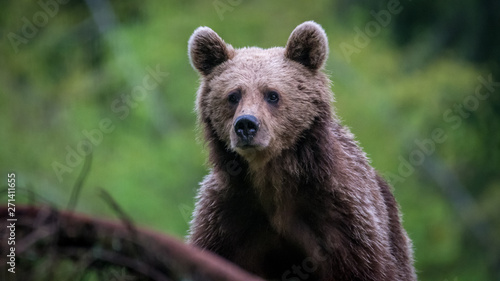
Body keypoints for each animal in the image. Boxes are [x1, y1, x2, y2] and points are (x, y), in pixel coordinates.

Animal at [186, 21, 416, 280]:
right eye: (233, 95)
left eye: (272, 94)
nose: (246, 125)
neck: (271, 177)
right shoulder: (227, 217)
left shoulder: (341, 218)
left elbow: (365, 267)